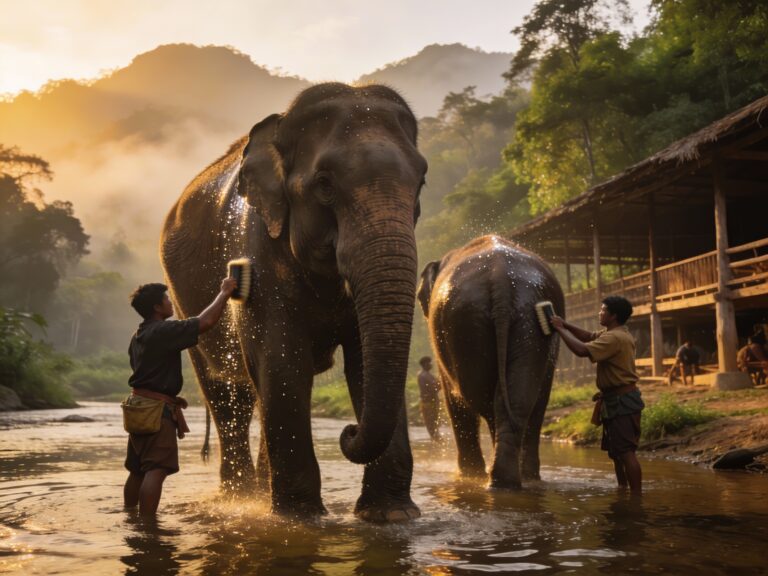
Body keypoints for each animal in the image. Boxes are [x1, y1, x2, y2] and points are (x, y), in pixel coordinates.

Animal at [161, 83, 427, 521]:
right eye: (324, 183)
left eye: (421, 181)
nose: (348, 431)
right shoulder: (256, 251)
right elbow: (281, 359)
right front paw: (301, 519)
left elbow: (361, 362)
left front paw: (391, 516)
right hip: (183, 305)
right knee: (228, 395)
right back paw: (240, 498)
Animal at [417, 235, 563, 489]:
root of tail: (502, 279)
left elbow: (452, 397)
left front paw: (466, 475)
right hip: (526, 321)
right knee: (524, 402)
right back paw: (516, 479)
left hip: (467, 325)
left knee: (483, 400)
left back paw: (494, 478)